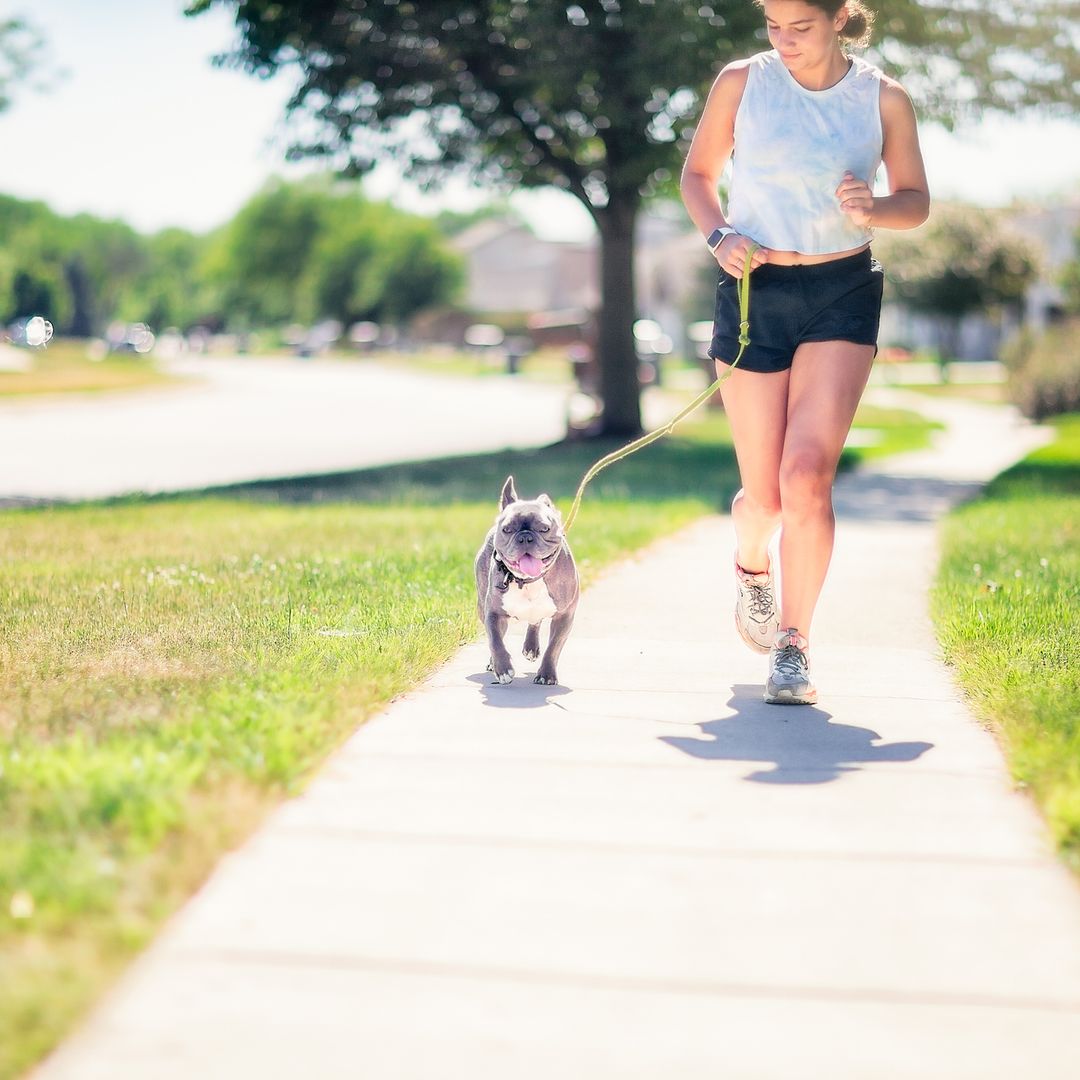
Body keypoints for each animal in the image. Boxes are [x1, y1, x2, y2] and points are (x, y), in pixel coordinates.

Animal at [475, 475, 578, 682]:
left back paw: (531, 647)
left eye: (544, 528)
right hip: (482, 607)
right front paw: (503, 669)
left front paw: (546, 674)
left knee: (535, 621)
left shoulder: (565, 615)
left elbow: (554, 646)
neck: (528, 581)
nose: (524, 537)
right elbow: (495, 640)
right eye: (507, 529)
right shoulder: (493, 613)